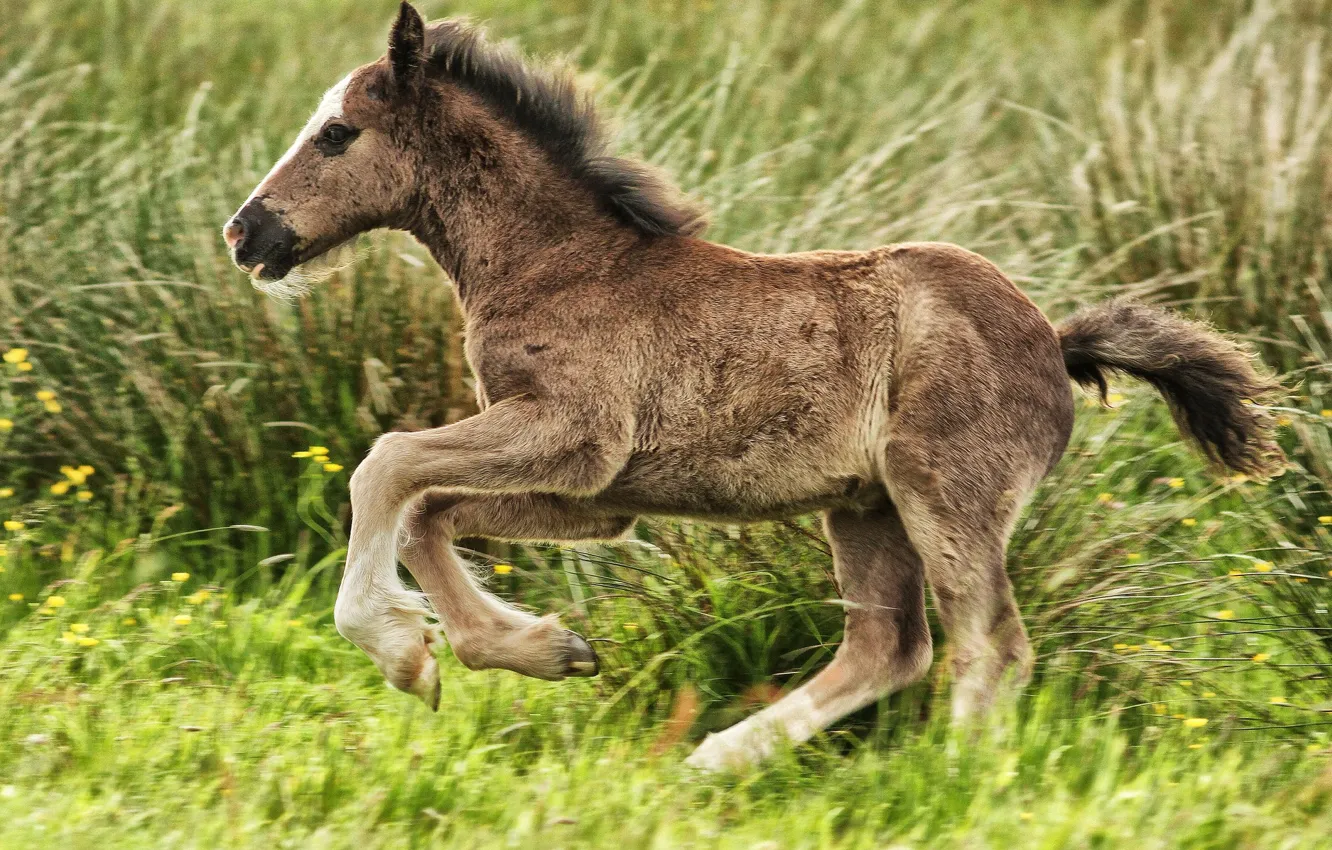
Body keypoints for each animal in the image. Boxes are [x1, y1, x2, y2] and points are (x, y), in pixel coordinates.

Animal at [224, 3, 1283, 771]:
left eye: (336, 133)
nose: (246, 233)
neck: (556, 264)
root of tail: (1052, 338)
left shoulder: (572, 434)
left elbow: (387, 468)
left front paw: (402, 651)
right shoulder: (596, 493)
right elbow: (425, 512)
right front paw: (543, 651)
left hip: (944, 494)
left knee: (990, 643)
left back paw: (951, 781)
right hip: (866, 509)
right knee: (892, 647)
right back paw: (718, 759)